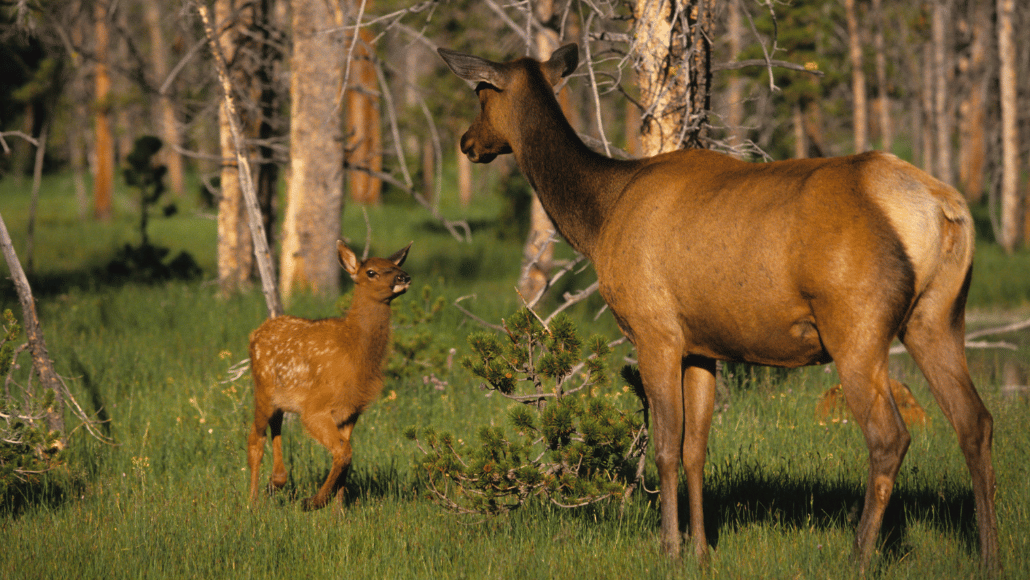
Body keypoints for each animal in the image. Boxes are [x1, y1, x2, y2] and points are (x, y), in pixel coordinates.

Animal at [247, 240, 412, 510]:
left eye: (395, 265)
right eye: (371, 272)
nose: (404, 277)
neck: (356, 354)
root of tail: (255, 333)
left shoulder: (351, 411)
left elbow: (346, 455)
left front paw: (338, 511)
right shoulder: (315, 408)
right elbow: (344, 452)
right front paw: (313, 502)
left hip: (279, 398)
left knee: (276, 426)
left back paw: (276, 482)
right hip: (262, 390)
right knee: (255, 440)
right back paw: (253, 501)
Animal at [438, 44, 999, 573]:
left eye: (481, 94)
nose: (467, 142)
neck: (598, 218)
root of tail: (945, 208)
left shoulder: (655, 331)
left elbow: (665, 447)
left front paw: (668, 549)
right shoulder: (701, 347)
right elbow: (695, 451)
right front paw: (702, 550)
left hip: (855, 324)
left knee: (889, 437)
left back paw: (859, 556)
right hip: (937, 318)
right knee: (975, 420)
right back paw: (989, 552)